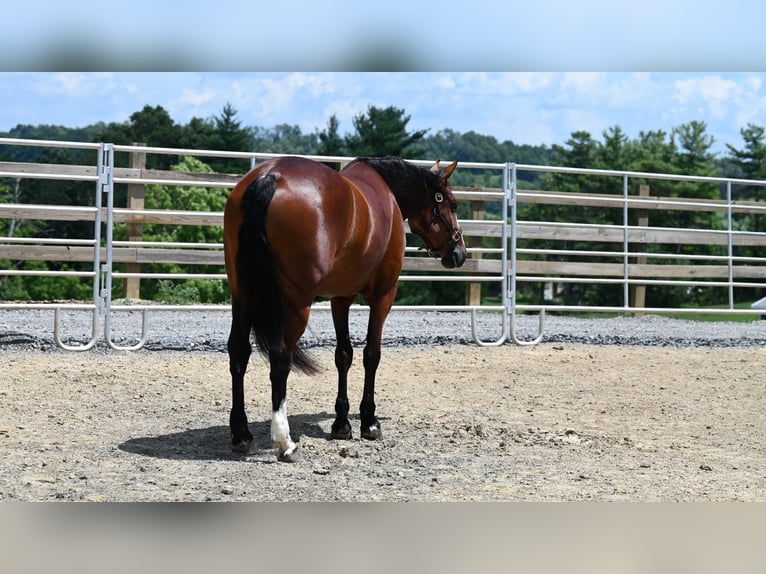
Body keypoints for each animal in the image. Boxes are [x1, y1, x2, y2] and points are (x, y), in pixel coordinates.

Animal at [219, 158, 464, 464]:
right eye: (452, 204)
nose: (459, 253)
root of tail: (270, 176)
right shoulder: (384, 295)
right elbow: (372, 354)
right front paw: (369, 423)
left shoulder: (341, 298)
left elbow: (343, 355)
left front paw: (341, 424)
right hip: (297, 303)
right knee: (280, 359)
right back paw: (285, 442)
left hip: (242, 296)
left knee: (239, 353)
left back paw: (241, 435)